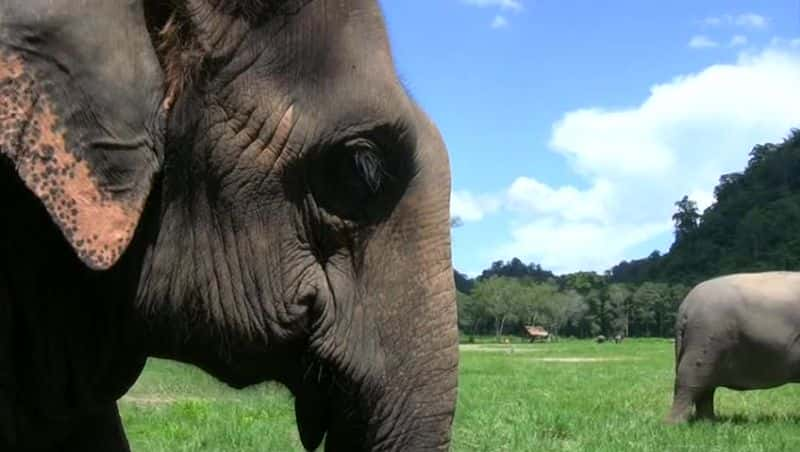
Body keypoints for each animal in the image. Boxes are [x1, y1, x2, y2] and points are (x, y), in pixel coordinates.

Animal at [664, 272, 800, 424]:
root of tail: (685, 307)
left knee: (706, 386)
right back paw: (674, 425)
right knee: (690, 380)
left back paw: (707, 422)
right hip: (705, 337)